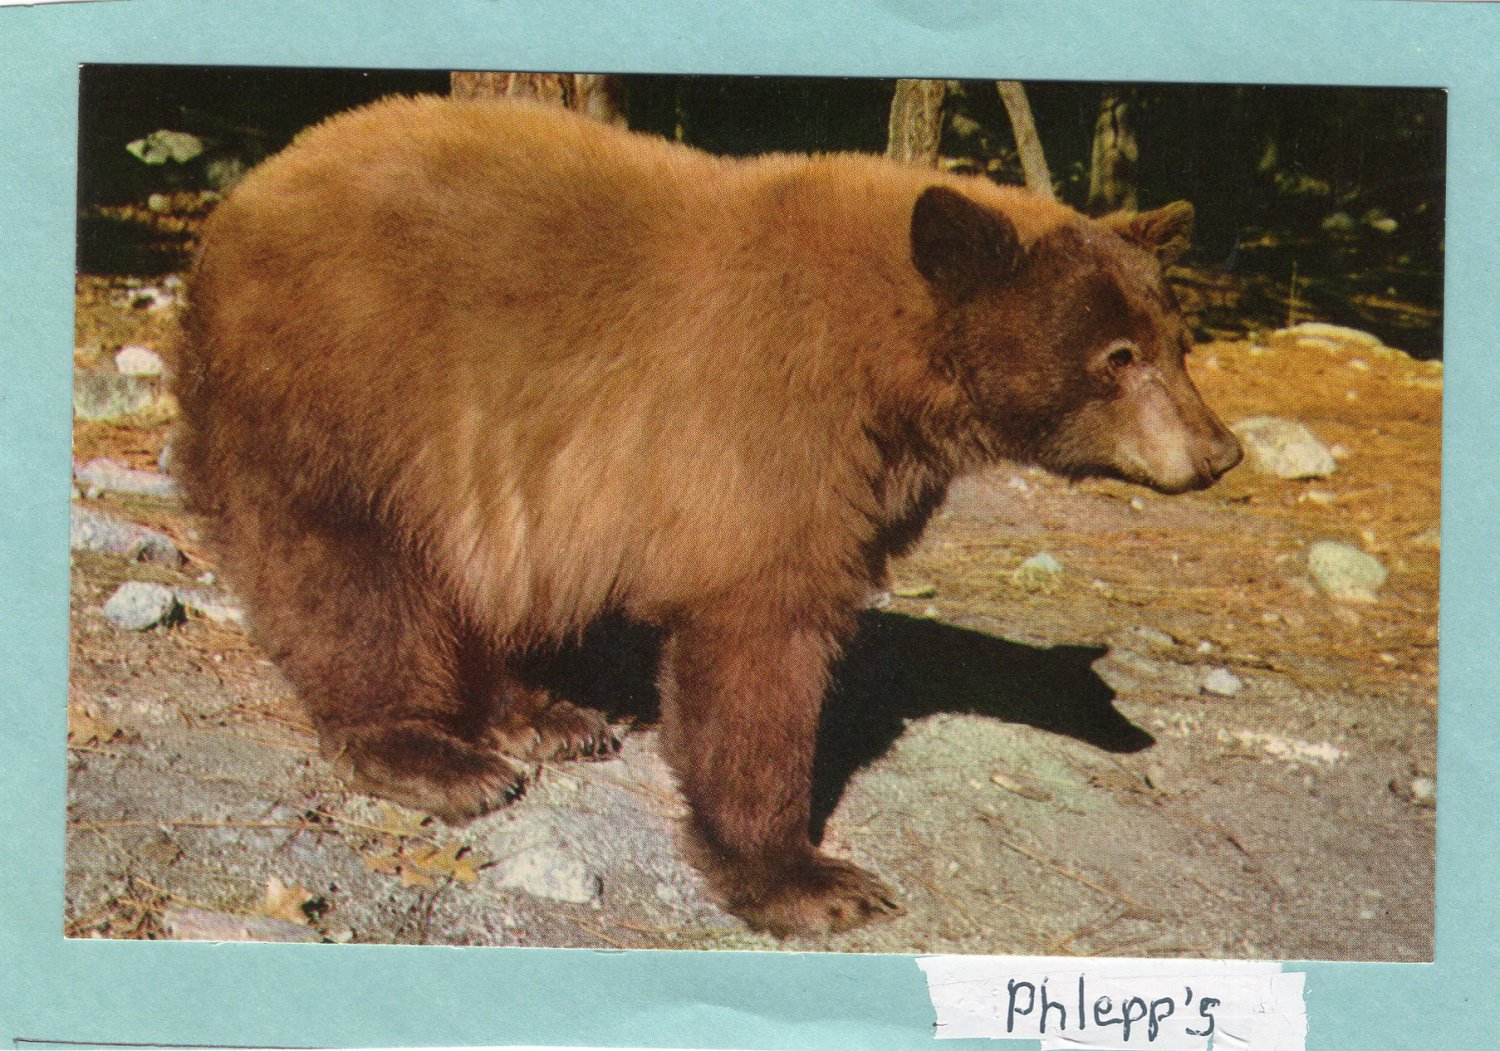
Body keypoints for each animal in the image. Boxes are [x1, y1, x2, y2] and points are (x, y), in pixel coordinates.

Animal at [172, 94, 1242, 938]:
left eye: (1175, 340)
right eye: (1115, 356)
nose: (1220, 451)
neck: (891, 368)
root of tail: (245, 197)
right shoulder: (765, 430)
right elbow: (759, 639)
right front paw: (809, 878)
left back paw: (542, 714)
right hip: (344, 389)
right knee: (349, 576)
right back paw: (433, 753)